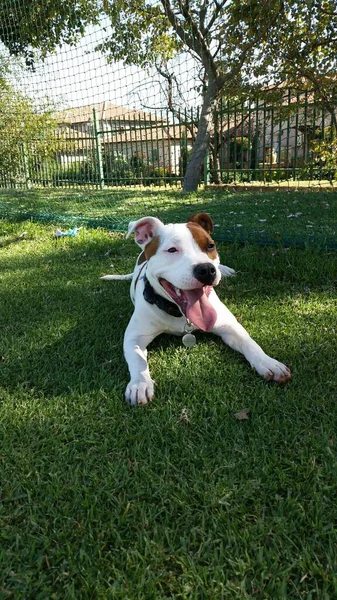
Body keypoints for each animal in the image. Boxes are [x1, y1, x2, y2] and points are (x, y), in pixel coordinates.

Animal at [101, 213, 290, 406]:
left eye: (210, 246)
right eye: (172, 250)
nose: (206, 269)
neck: (179, 312)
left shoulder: (229, 326)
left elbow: (249, 342)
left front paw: (268, 362)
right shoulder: (134, 337)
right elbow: (137, 360)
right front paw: (140, 384)